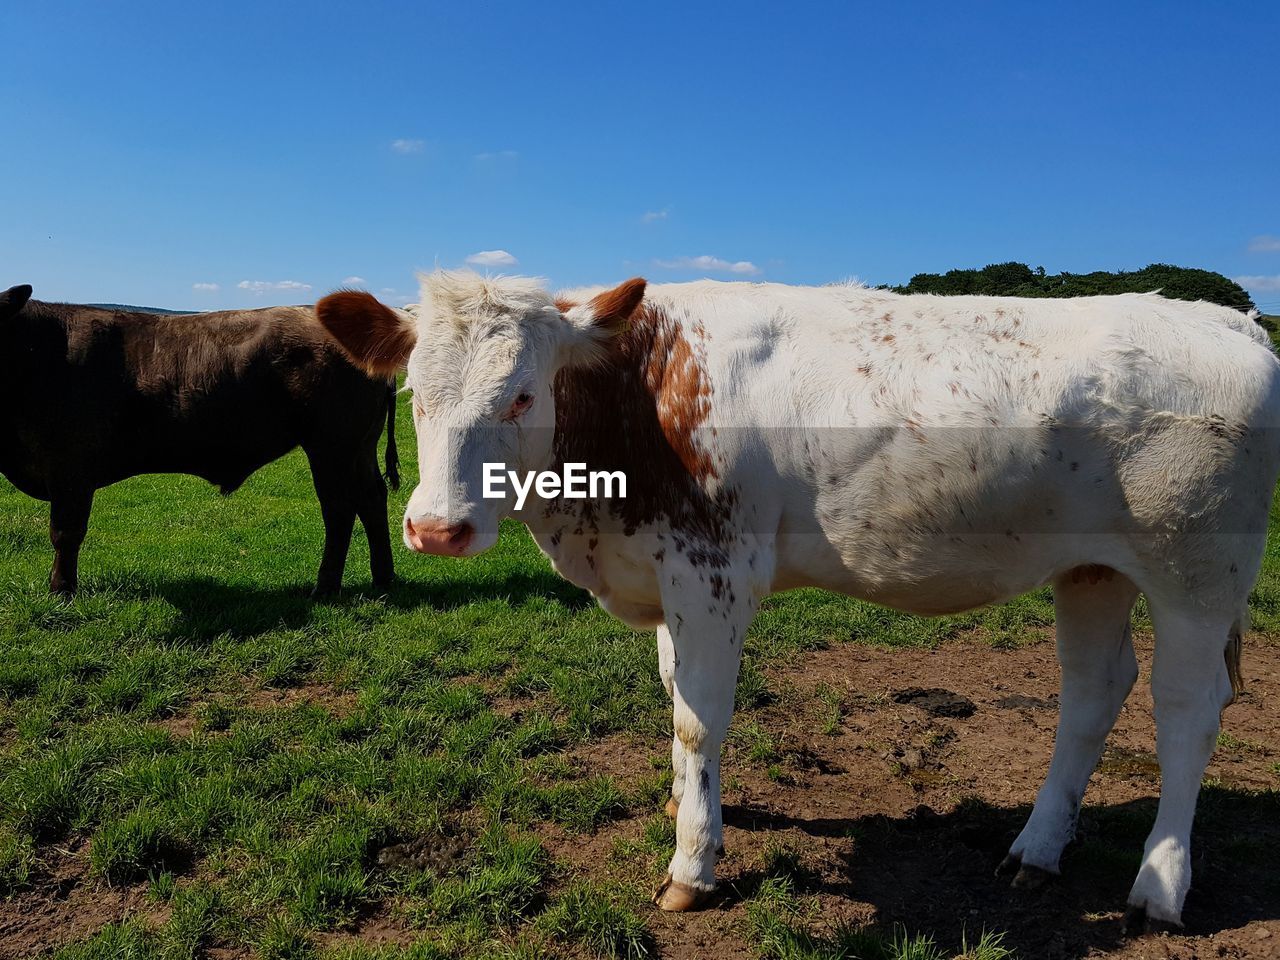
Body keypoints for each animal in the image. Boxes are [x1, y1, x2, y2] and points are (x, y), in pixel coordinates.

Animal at [0, 285, 399, 599]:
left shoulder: (70, 467)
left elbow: (65, 532)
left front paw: (61, 590)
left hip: (331, 447)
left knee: (339, 509)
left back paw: (326, 588)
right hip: (359, 447)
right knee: (372, 499)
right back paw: (383, 578)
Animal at [317, 276, 1280, 931]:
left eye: (521, 394)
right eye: (414, 394)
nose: (436, 528)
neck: (636, 398)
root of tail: (1225, 317)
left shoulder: (713, 574)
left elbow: (698, 718)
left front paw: (693, 863)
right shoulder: (665, 576)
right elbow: (673, 695)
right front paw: (687, 809)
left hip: (1198, 573)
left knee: (1186, 710)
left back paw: (1159, 884)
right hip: (1091, 570)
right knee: (1092, 689)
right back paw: (1037, 852)